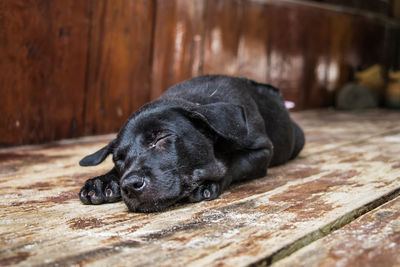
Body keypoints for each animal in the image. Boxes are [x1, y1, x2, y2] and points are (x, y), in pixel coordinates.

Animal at [78, 75, 304, 214]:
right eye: (118, 158)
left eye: (162, 138)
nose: (129, 186)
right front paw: (102, 182)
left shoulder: (263, 150)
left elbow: (233, 164)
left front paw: (207, 183)